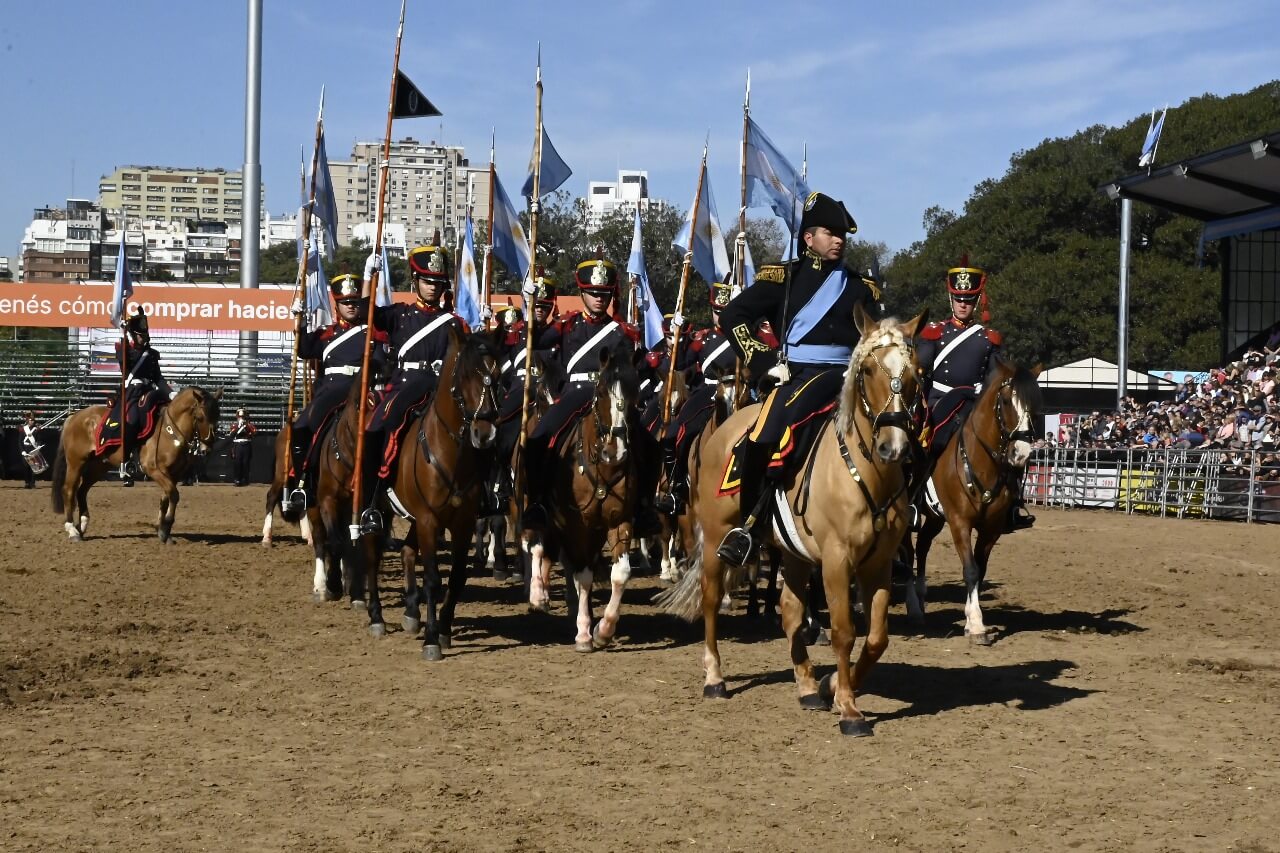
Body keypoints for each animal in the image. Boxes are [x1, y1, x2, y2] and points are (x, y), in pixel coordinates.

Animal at [50, 384, 222, 540]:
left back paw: (82, 526)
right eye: (200, 417)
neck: (170, 431)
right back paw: (72, 531)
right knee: (69, 490)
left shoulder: (173, 474)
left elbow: (166, 497)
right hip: (76, 462)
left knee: (82, 490)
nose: (207, 448)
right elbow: (173, 494)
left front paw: (162, 529)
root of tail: (74, 416)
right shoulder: (153, 470)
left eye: (218, 416)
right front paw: (166, 526)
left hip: (98, 467)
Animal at [368, 326, 501, 655]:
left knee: (406, 551)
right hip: (380, 510)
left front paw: (443, 629)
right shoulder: (429, 520)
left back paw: (411, 613)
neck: (451, 453)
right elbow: (432, 579)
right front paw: (431, 639)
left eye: (497, 375)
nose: (485, 434)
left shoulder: (461, 523)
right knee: (373, 555)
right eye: (464, 375)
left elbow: (457, 578)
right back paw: (376, 616)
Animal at [522, 343, 640, 648]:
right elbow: (582, 575)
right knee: (536, 544)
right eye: (601, 391)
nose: (615, 450)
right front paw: (585, 631)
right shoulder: (575, 525)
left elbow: (620, 574)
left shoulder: (618, 521)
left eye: (635, 393)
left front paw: (604, 629)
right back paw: (538, 594)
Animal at [665, 307, 926, 737]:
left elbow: (876, 638)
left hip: (795, 553)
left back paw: (806, 687)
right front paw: (849, 709)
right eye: (868, 369)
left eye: (916, 374)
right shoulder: (837, 561)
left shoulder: (878, 564)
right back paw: (714, 678)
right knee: (710, 599)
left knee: (789, 609)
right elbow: (843, 632)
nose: (894, 446)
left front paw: (832, 685)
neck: (865, 473)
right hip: (717, 538)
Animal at [901, 356, 1039, 640]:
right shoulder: (959, 522)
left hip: (934, 517)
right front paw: (975, 624)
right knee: (908, 553)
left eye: (1035, 404)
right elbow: (971, 569)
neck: (981, 460)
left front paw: (971, 616)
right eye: (1006, 400)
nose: (1022, 453)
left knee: (922, 546)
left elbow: (980, 570)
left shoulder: (992, 528)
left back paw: (920, 596)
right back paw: (913, 608)